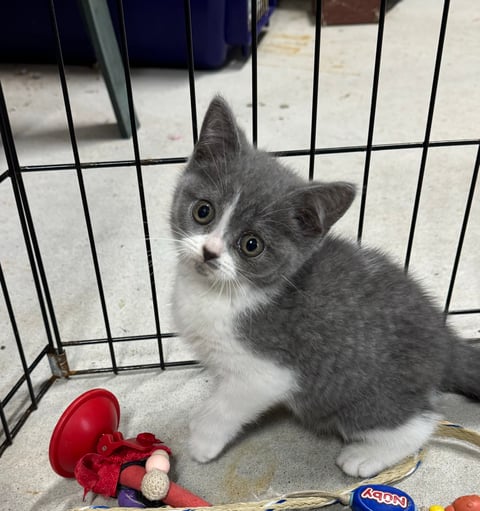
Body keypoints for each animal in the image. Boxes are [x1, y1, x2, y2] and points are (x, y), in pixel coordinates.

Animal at [170, 97, 480, 480]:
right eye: (203, 211)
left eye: (251, 245)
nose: (209, 251)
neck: (223, 291)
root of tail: (445, 339)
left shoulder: (268, 371)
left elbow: (228, 405)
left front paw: (203, 439)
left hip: (361, 396)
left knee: (420, 422)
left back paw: (366, 455)